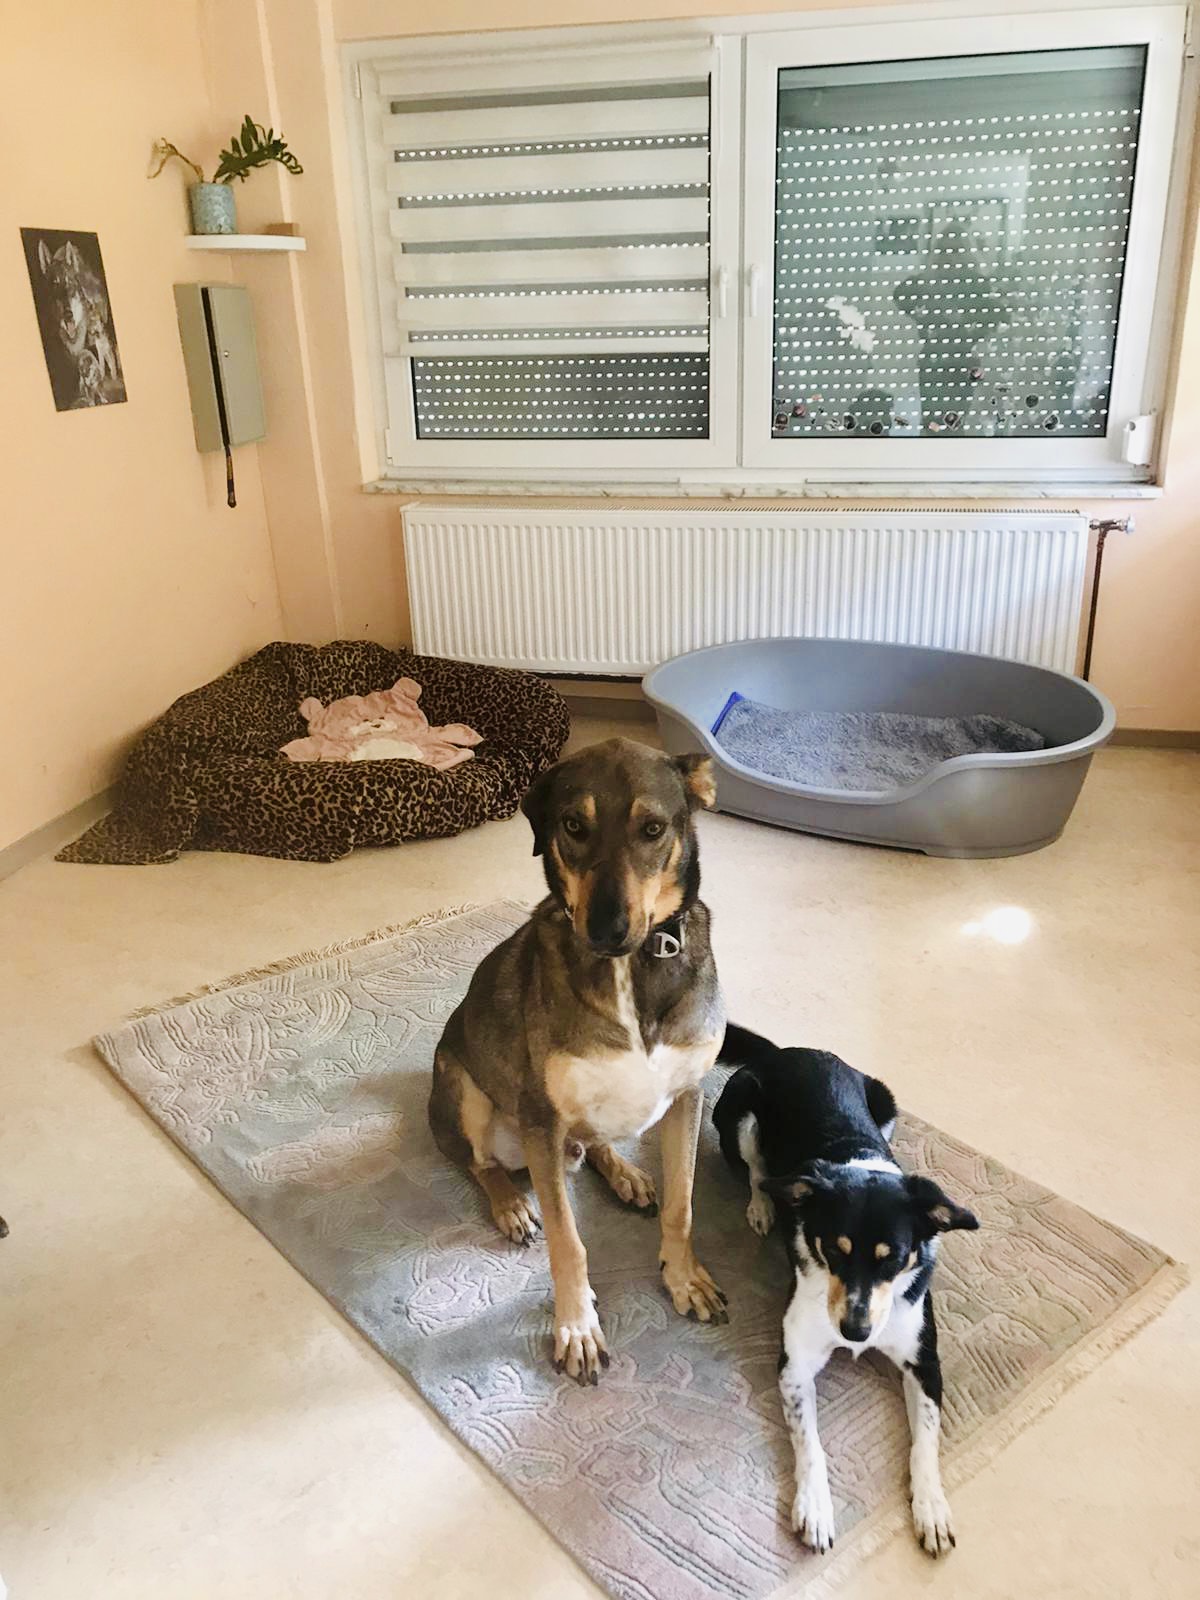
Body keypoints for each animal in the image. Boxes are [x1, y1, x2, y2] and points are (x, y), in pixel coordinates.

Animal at [429, 738, 728, 1383]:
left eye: (652, 828)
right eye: (572, 825)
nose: (606, 929)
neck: (633, 967)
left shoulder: (687, 1097)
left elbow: (684, 1204)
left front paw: (684, 1277)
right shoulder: (542, 1118)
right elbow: (568, 1241)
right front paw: (577, 1327)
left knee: (593, 1146)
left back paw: (625, 1173)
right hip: (465, 1089)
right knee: (481, 1162)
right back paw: (512, 1206)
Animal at [714, 1023, 978, 1556]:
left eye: (894, 1258)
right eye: (834, 1251)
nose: (856, 1333)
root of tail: (788, 1051)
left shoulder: (925, 1362)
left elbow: (926, 1442)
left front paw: (931, 1507)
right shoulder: (796, 1365)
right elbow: (811, 1443)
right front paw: (814, 1509)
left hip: (887, 1103)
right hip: (740, 1113)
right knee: (757, 1172)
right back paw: (761, 1207)